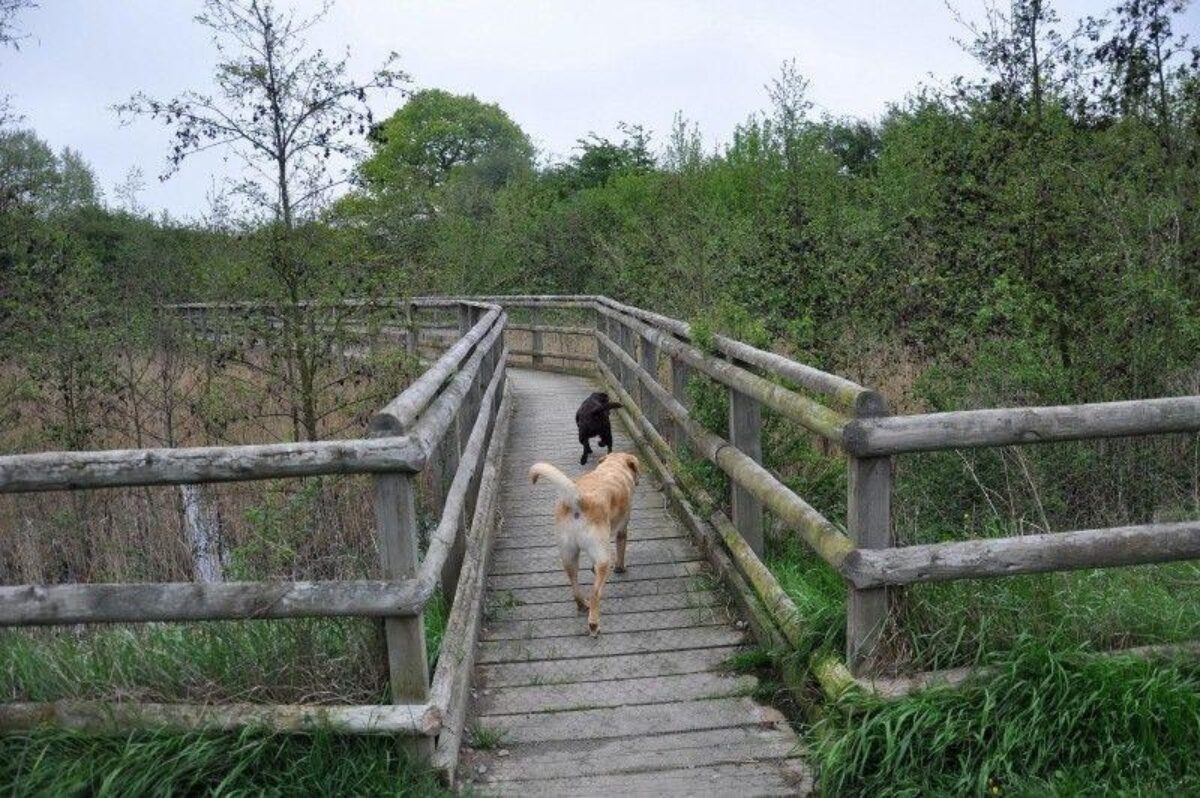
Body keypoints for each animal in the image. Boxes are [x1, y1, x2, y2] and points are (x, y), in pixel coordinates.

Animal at [530, 453, 643, 633]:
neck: (613, 467)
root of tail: (579, 500)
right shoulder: (622, 529)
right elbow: (621, 549)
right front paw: (620, 568)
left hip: (569, 555)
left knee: (574, 584)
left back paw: (582, 605)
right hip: (603, 558)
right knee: (595, 592)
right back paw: (594, 623)